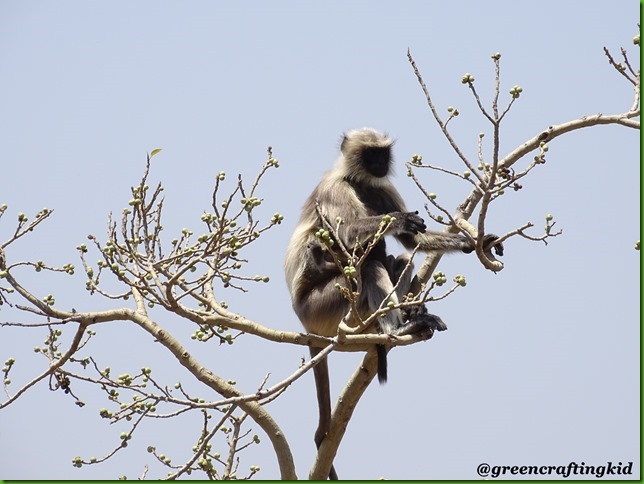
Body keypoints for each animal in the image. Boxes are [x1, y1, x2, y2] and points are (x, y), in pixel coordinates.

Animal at [286, 126, 504, 478]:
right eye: (370, 154)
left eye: (382, 154)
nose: (378, 164)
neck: (357, 180)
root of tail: (304, 322)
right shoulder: (335, 189)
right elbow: (348, 235)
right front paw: (398, 220)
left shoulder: (380, 187)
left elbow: (413, 241)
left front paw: (476, 242)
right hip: (323, 305)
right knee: (369, 265)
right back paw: (397, 327)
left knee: (398, 259)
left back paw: (410, 316)